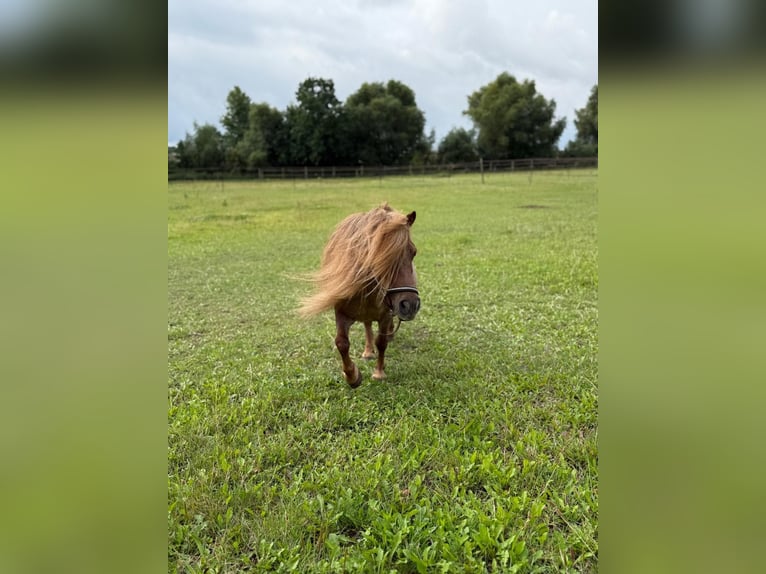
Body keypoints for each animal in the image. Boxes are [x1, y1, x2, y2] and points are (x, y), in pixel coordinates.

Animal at [299, 203, 421, 387]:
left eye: (413, 253)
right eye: (379, 258)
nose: (410, 305)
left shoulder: (385, 314)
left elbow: (382, 342)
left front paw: (379, 373)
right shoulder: (341, 312)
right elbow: (341, 343)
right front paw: (352, 376)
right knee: (367, 326)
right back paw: (368, 351)